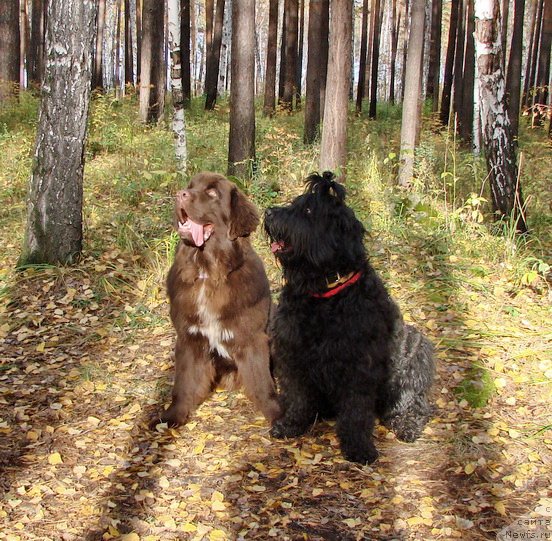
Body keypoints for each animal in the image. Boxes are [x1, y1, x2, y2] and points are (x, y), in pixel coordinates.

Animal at [157, 173, 282, 426]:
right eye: (190, 187)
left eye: (212, 192)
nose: (180, 194)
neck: (207, 271)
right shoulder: (189, 337)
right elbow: (183, 383)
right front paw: (173, 417)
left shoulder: (252, 338)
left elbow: (263, 383)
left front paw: (278, 417)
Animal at [264, 173, 436, 464]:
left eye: (308, 210)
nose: (269, 213)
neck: (323, 291)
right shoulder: (291, 353)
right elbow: (297, 395)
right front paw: (291, 424)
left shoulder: (358, 365)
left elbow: (356, 411)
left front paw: (358, 447)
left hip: (416, 348)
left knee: (414, 403)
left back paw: (407, 424)